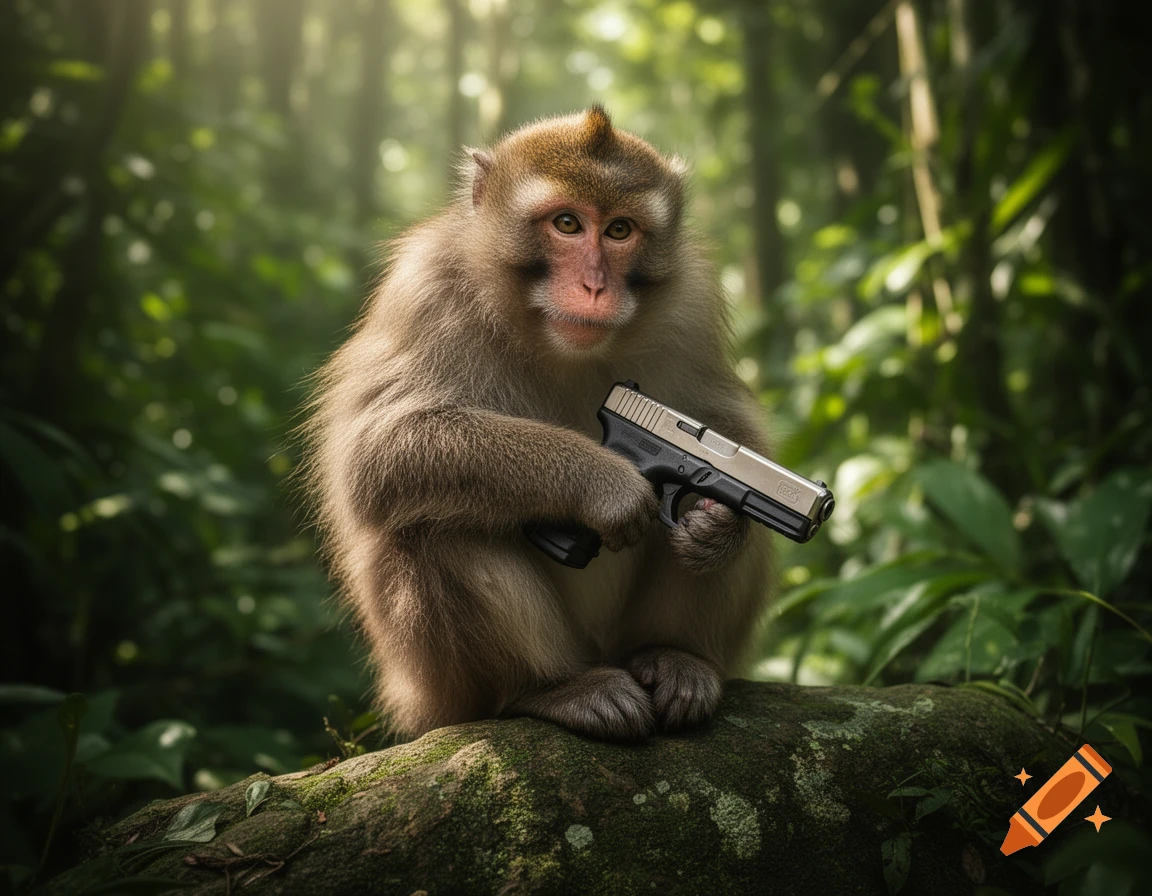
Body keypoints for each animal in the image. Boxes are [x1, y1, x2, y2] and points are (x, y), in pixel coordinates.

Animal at [303, 106, 774, 743]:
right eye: (567, 224)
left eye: (619, 230)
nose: (595, 286)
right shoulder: (424, 289)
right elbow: (377, 451)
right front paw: (602, 483)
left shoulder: (695, 301)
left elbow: (726, 421)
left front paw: (718, 527)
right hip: (438, 690)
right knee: (430, 523)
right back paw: (554, 689)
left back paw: (678, 658)